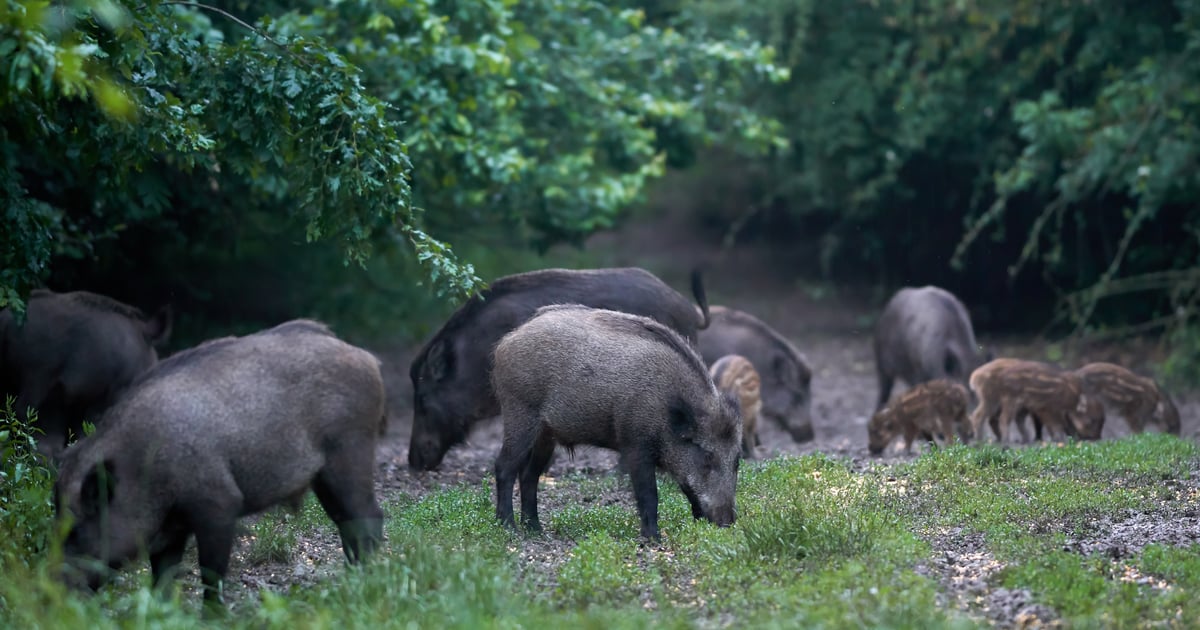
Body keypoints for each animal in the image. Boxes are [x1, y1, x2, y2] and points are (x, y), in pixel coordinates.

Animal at [54, 319, 386, 605]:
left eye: (77, 531)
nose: (54, 592)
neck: (143, 466)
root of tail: (368, 359)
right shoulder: (170, 531)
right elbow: (163, 577)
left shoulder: (218, 505)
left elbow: (211, 575)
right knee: (347, 523)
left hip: (349, 453)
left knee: (368, 517)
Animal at [491, 304, 741, 541]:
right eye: (707, 456)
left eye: (737, 460)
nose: (727, 523)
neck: (668, 408)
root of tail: (507, 341)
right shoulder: (635, 445)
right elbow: (649, 493)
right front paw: (653, 538)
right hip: (520, 414)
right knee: (504, 466)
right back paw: (508, 527)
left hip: (545, 435)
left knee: (529, 475)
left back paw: (535, 529)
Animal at [968, 358, 1105, 444]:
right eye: (1091, 420)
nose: (1097, 438)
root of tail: (975, 376)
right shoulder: (1045, 408)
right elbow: (1054, 424)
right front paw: (1059, 439)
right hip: (997, 400)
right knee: (986, 416)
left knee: (997, 419)